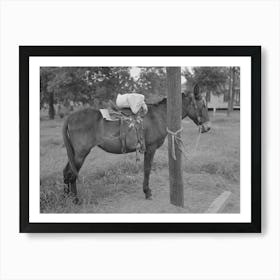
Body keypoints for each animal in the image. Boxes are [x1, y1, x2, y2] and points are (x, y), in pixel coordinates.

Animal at [61, 89, 210, 201]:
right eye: (203, 106)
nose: (207, 127)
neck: (159, 115)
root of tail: (70, 117)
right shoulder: (150, 149)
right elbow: (147, 169)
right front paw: (147, 192)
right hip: (80, 154)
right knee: (72, 174)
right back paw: (75, 200)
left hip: (75, 154)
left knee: (66, 173)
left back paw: (66, 198)